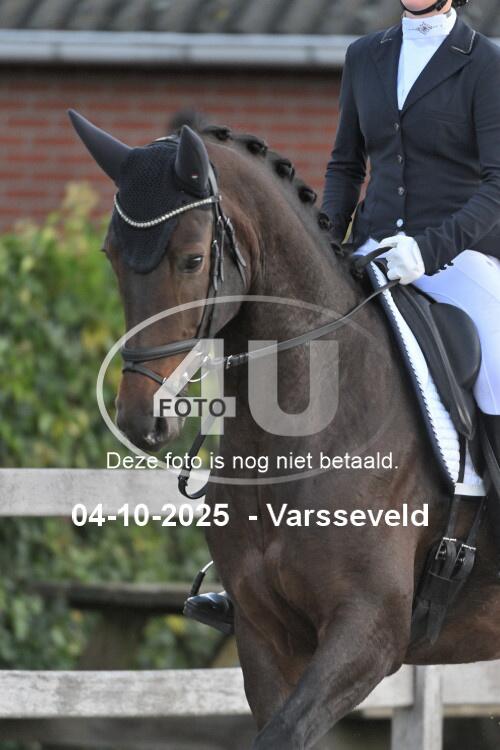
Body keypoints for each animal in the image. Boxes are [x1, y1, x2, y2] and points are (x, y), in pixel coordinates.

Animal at [69, 110, 500, 750]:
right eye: (110, 255)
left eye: (192, 260)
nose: (141, 418)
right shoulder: (263, 634)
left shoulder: (369, 632)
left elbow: (284, 734)